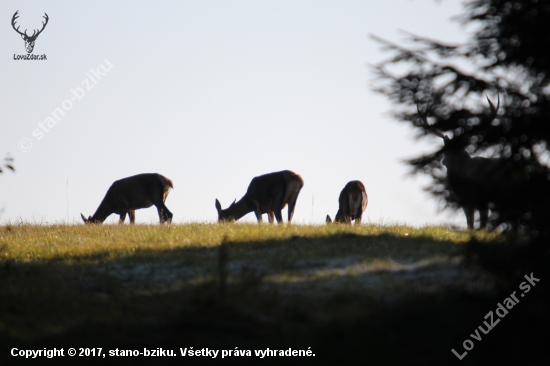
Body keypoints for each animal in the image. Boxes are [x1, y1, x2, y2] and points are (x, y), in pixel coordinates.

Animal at [418, 96, 512, 230]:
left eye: (459, 150)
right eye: (446, 149)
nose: (444, 162)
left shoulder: (483, 197)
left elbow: (482, 223)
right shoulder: (464, 199)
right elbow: (470, 222)